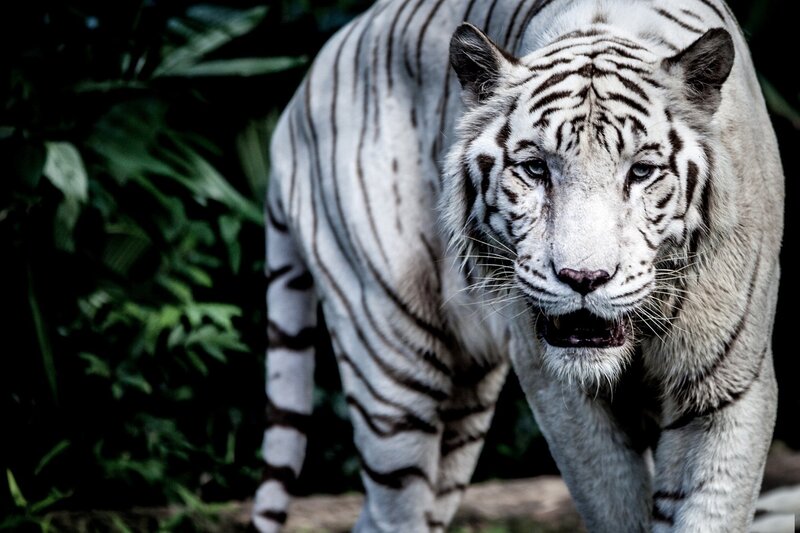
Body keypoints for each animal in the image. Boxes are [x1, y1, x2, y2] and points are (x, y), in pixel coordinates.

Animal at [255, 0, 785, 531]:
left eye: (640, 172)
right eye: (535, 169)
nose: (583, 279)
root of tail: (299, 97)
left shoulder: (726, 393)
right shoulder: (561, 392)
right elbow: (614, 502)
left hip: (462, 406)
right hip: (391, 364)